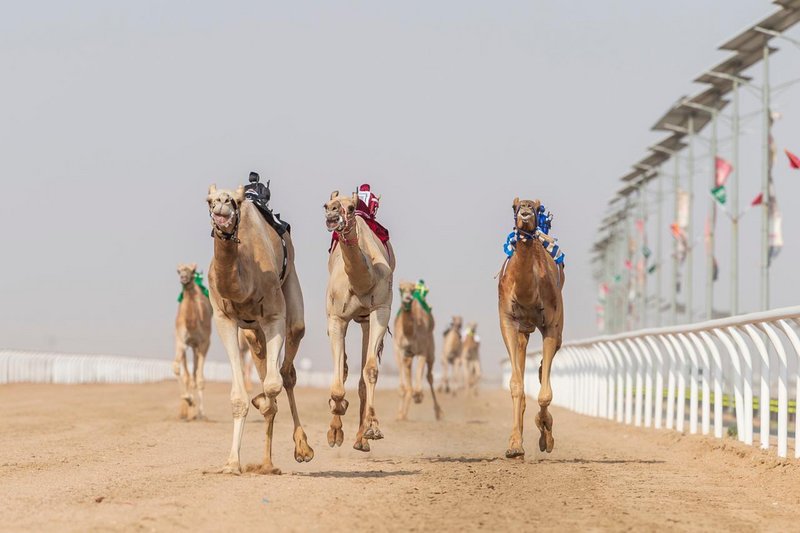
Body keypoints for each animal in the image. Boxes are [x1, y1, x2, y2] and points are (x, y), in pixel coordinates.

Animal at [206, 184, 312, 474]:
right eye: (209, 200)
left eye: (235, 201)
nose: (221, 205)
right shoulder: (224, 318)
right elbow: (239, 397)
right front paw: (232, 463)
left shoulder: (274, 315)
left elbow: (273, 384)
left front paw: (262, 400)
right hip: (252, 333)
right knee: (263, 357)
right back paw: (266, 462)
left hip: (291, 291)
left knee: (287, 370)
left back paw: (300, 449)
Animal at [324, 189, 396, 450]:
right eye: (327, 204)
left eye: (352, 208)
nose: (332, 214)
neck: (362, 282)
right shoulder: (336, 317)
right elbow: (338, 380)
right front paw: (335, 428)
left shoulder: (380, 309)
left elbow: (371, 370)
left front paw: (372, 428)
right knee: (343, 370)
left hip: (366, 320)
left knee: (365, 373)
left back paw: (360, 439)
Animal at [394, 280, 444, 422]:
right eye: (400, 288)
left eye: (412, 289)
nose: (407, 299)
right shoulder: (400, 349)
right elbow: (403, 386)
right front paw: (400, 414)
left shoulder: (423, 349)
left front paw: (418, 395)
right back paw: (403, 413)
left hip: (431, 348)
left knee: (429, 376)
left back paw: (438, 412)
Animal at [496, 198, 564, 458]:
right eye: (514, 206)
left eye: (536, 205)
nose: (525, 209)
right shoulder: (507, 321)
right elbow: (516, 385)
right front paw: (515, 445)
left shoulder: (551, 325)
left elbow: (545, 394)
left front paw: (546, 432)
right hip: (523, 331)